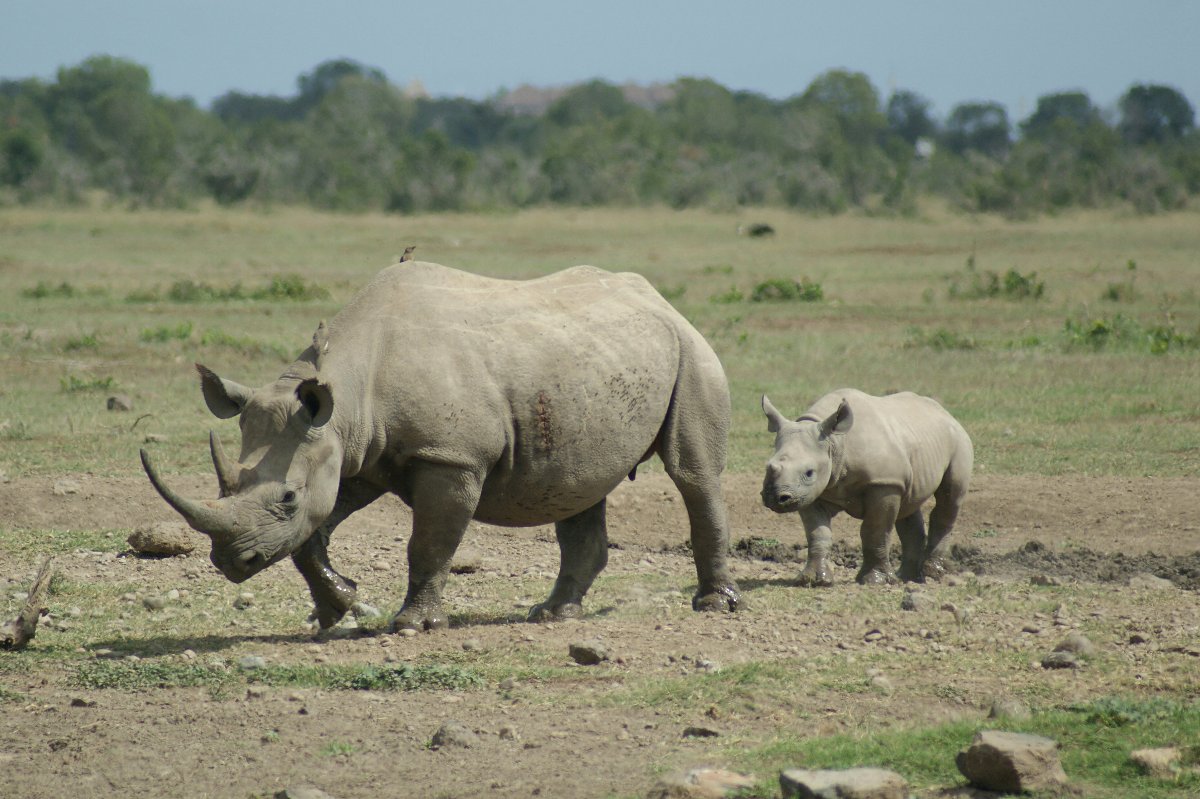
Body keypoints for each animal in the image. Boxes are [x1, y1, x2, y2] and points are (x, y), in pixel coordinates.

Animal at [141, 262, 741, 631]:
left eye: (285, 498)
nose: (231, 562)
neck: (348, 390)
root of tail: (658, 298)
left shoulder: (450, 458)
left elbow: (427, 545)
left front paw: (412, 625)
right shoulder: (352, 454)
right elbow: (311, 539)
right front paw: (341, 609)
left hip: (691, 350)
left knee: (692, 474)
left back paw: (714, 606)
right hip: (590, 365)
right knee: (577, 485)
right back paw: (551, 615)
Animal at [759, 389, 973, 586]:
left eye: (809, 472)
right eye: (768, 466)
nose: (776, 498)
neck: (835, 442)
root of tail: (946, 413)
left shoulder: (884, 483)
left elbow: (874, 530)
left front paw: (874, 581)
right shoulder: (811, 493)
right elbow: (817, 533)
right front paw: (813, 580)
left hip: (958, 440)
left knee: (950, 497)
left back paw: (933, 573)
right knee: (909, 504)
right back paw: (907, 577)